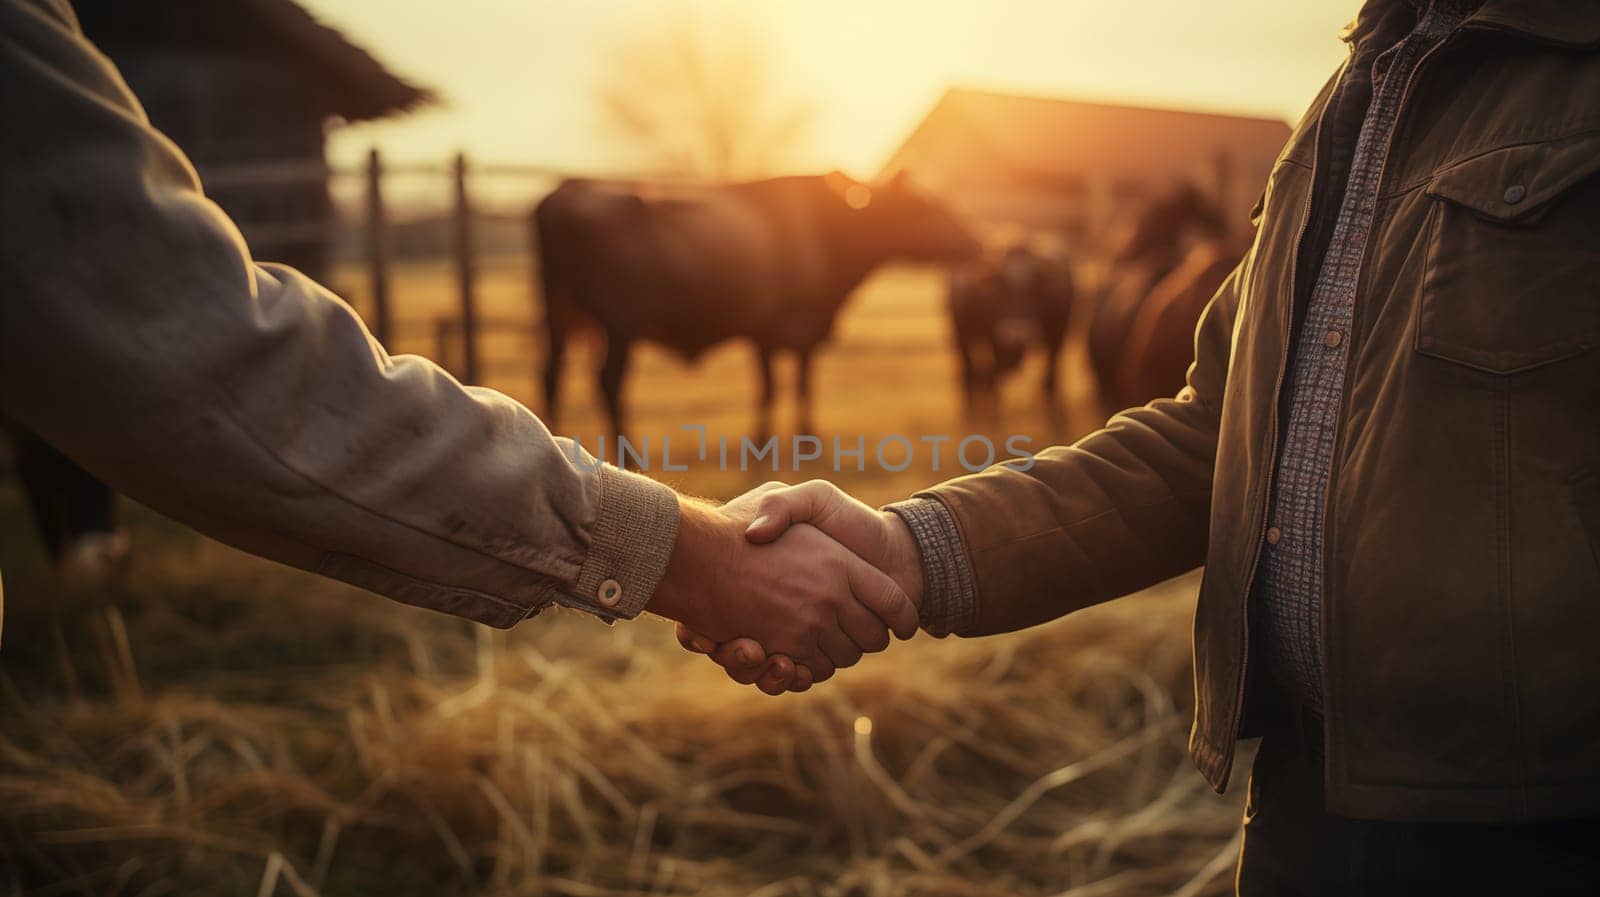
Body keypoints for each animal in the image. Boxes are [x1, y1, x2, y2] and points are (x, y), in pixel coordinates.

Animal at [534, 169, 972, 434]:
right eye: (925, 206)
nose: (976, 241)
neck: (826, 230)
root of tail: (570, 187)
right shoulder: (784, 329)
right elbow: (783, 387)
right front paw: (784, 440)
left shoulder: (774, 335)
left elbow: (788, 385)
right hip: (619, 326)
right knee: (608, 383)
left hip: (563, 317)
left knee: (552, 376)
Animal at [947, 243, 1075, 415]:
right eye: (1000, 287)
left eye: (1034, 286)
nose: (1017, 332)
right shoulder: (981, 336)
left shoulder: (1057, 331)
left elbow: (1051, 367)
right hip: (961, 335)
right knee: (969, 368)